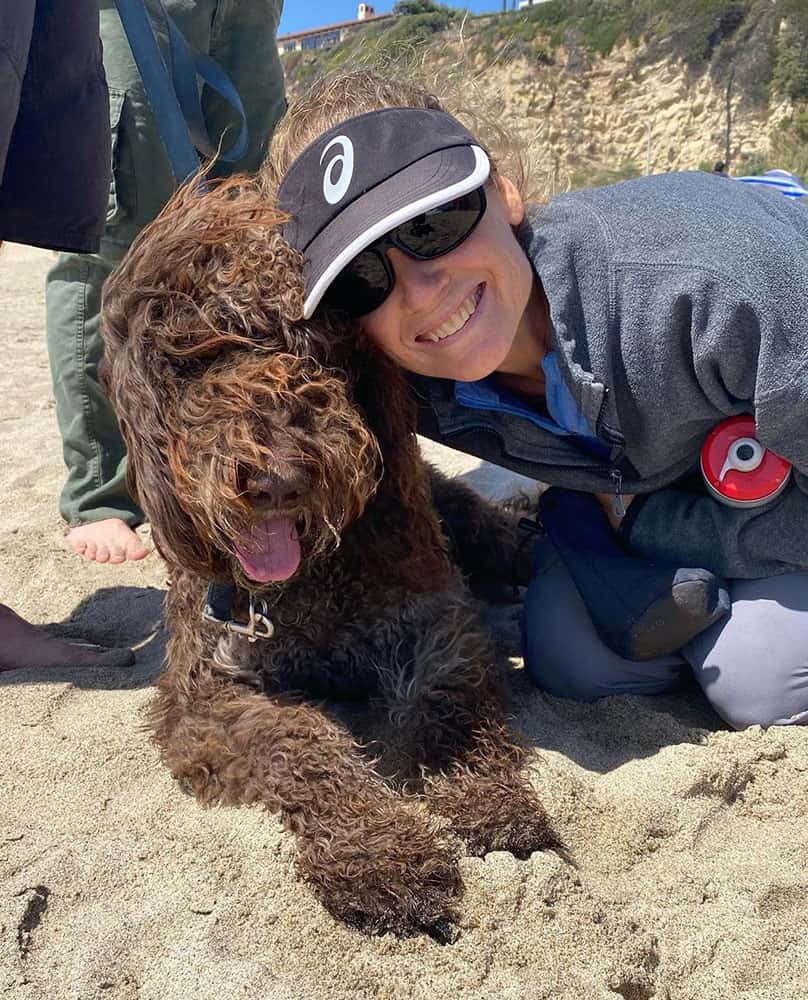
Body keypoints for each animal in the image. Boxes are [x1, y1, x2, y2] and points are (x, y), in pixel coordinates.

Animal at [99, 178, 556, 936]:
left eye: (314, 347)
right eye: (193, 354)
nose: (278, 476)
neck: (309, 581)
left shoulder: (436, 626)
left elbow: (447, 709)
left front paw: (486, 800)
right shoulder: (208, 694)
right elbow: (302, 741)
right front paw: (380, 855)